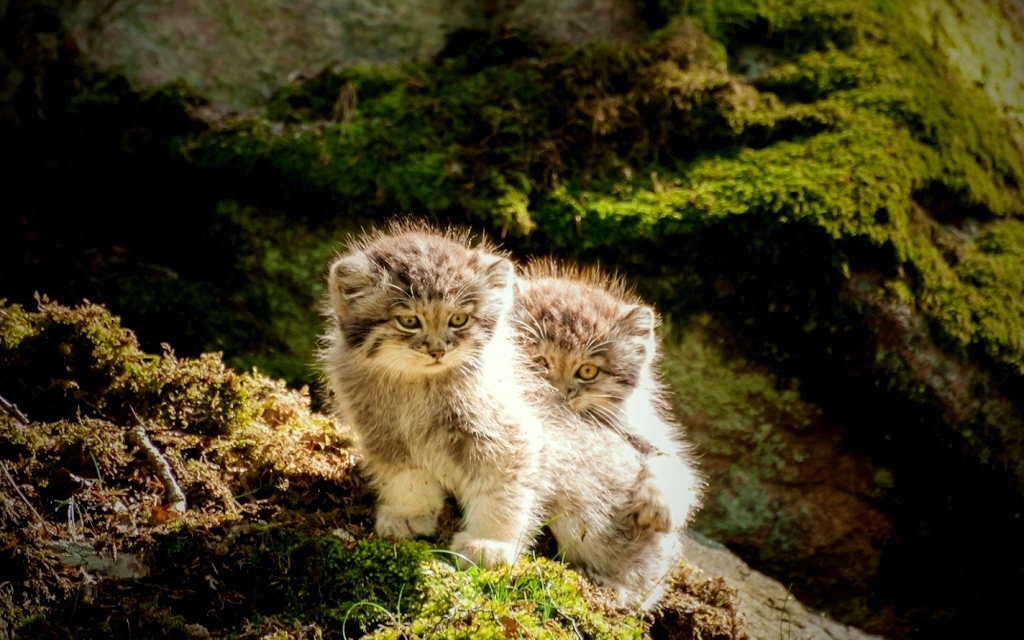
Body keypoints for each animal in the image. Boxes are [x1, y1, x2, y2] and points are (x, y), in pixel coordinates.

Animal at [321, 224, 548, 565]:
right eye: (409, 321)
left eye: (458, 319)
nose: (438, 351)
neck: (419, 389)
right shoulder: (385, 435)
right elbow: (407, 478)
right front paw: (408, 513)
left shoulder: (502, 434)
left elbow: (501, 491)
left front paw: (489, 541)